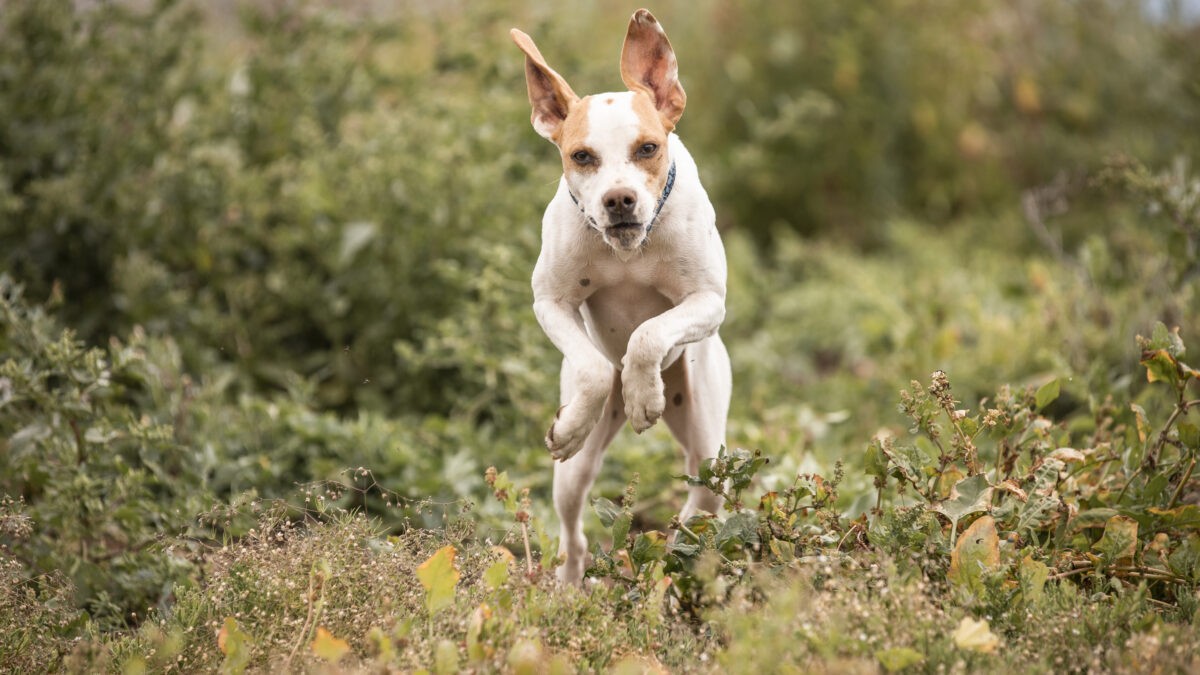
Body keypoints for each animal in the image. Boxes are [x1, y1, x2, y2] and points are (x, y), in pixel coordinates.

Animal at [508, 7, 729, 581]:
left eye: (647, 148)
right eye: (582, 156)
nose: (619, 199)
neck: (629, 250)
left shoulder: (708, 301)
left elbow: (649, 333)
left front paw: (643, 392)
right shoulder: (550, 302)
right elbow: (594, 367)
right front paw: (590, 410)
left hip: (708, 446)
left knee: (698, 502)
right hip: (573, 477)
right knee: (573, 530)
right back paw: (569, 581)